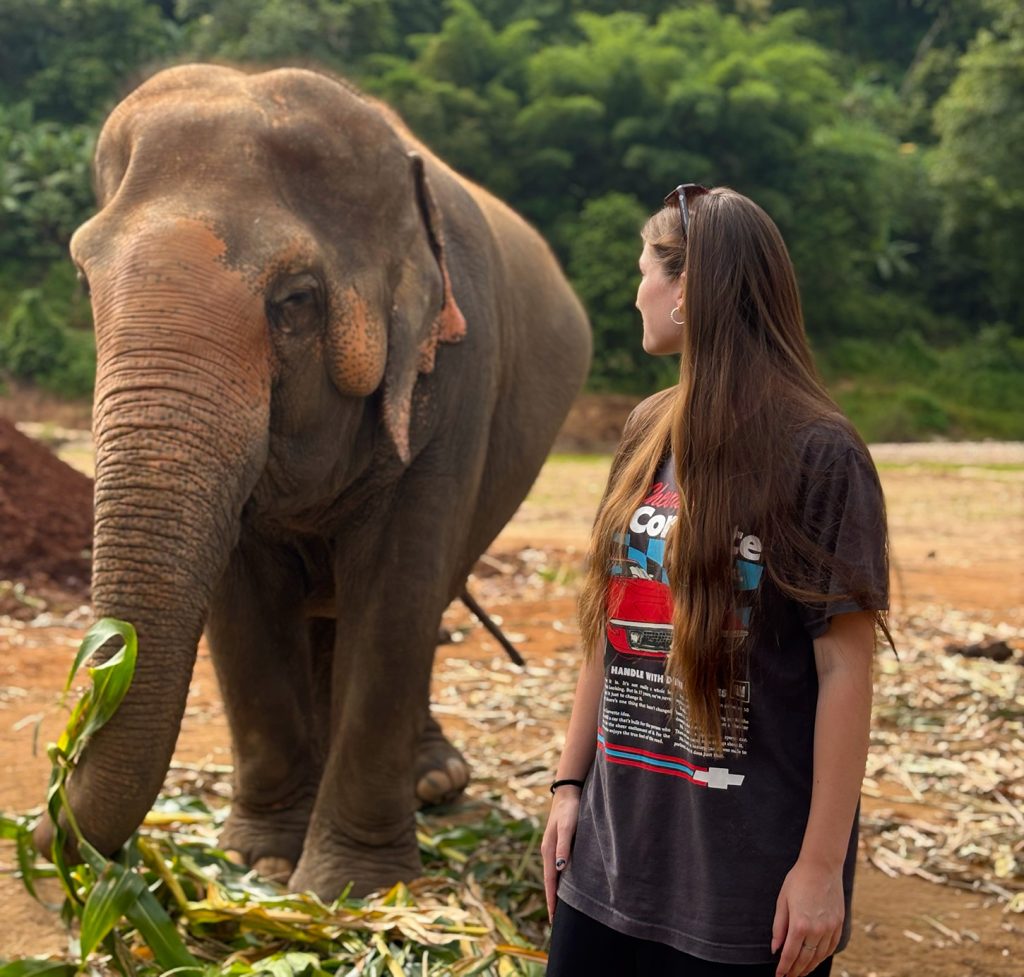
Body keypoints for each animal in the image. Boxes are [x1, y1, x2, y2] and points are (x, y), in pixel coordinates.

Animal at [38, 63, 591, 899]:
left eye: (295, 300)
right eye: (82, 276)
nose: (41, 822)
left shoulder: (455, 372)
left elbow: (396, 592)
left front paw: (345, 887)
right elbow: (242, 605)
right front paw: (259, 861)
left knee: (423, 599)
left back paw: (434, 782)